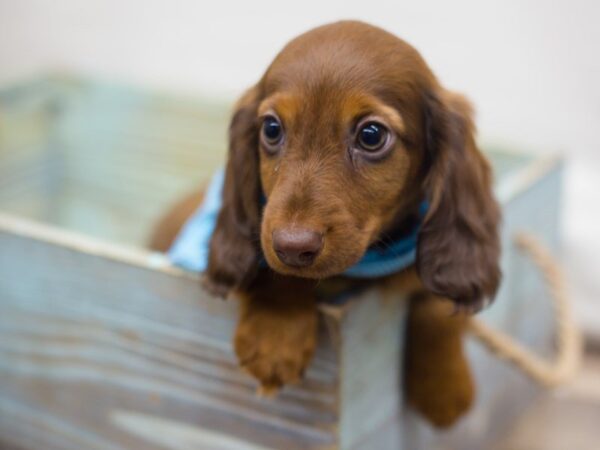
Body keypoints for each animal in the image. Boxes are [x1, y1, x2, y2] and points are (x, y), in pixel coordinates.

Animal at [151, 21, 502, 428]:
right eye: (271, 128)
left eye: (371, 135)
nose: (292, 245)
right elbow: (276, 270)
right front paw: (275, 336)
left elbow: (436, 302)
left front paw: (445, 385)